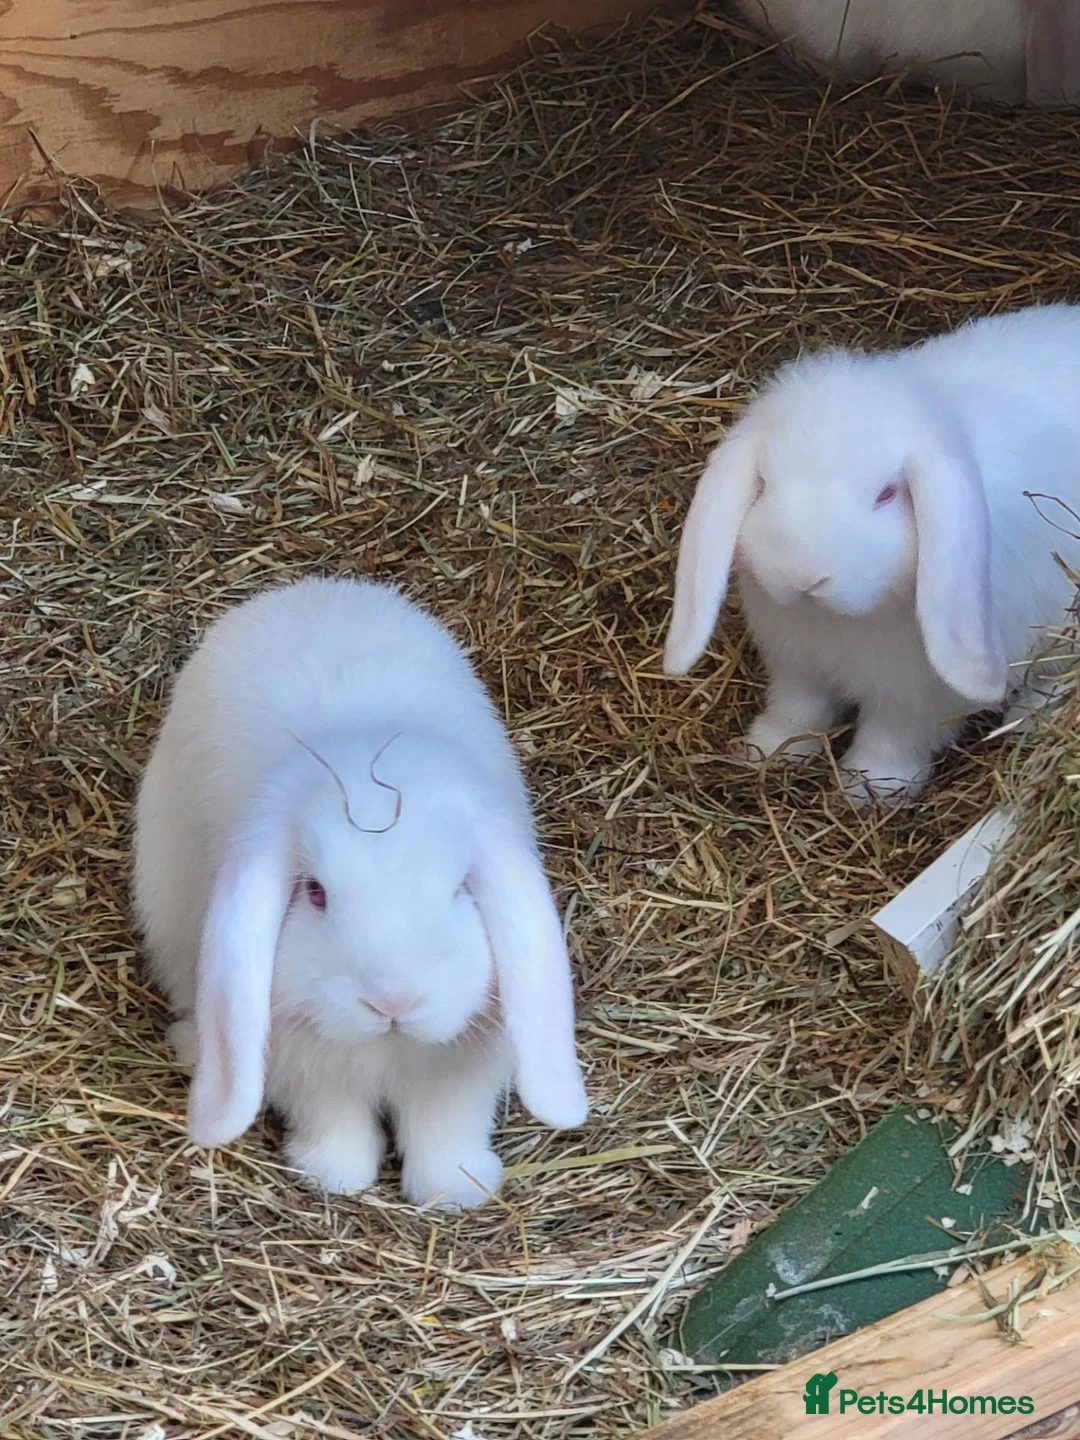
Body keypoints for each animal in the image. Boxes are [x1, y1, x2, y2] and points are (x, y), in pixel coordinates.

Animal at [132, 575, 588, 1209]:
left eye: (459, 889)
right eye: (315, 892)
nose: (392, 1002)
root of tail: (313, 589)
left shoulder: (459, 1077)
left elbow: (445, 1127)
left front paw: (453, 1190)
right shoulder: (306, 1069)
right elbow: (334, 1120)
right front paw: (335, 1176)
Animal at [663, 303, 1080, 806]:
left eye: (886, 493)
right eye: (761, 484)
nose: (805, 577)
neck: (836, 623)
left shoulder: (915, 696)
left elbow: (894, 738)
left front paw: (871, 788)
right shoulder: (798, 667)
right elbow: (799, 711)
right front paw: (768, 750)